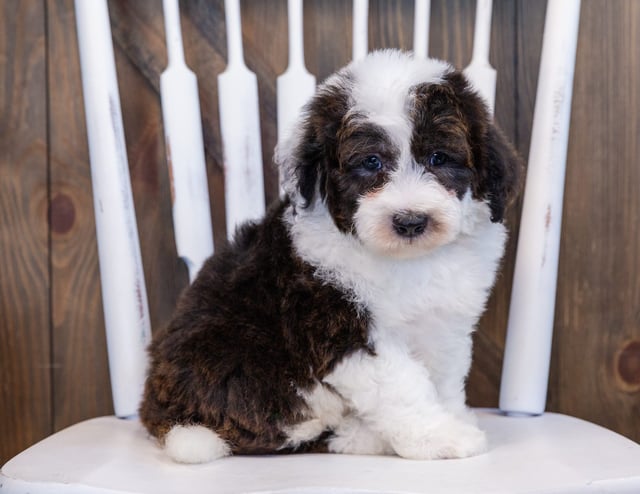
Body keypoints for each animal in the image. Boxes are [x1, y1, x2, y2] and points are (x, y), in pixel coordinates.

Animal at [140, 50, 520, 464]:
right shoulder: (339, 326)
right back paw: (365, 437)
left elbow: (444, 375)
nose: (410, 221)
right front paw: (439, 438)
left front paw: (454, 417)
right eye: (371, 163)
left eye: (438, 158)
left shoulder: (444, 321)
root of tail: (155, 409)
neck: (406, 259)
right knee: (281, 431)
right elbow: (401, 386)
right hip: (244, 368)